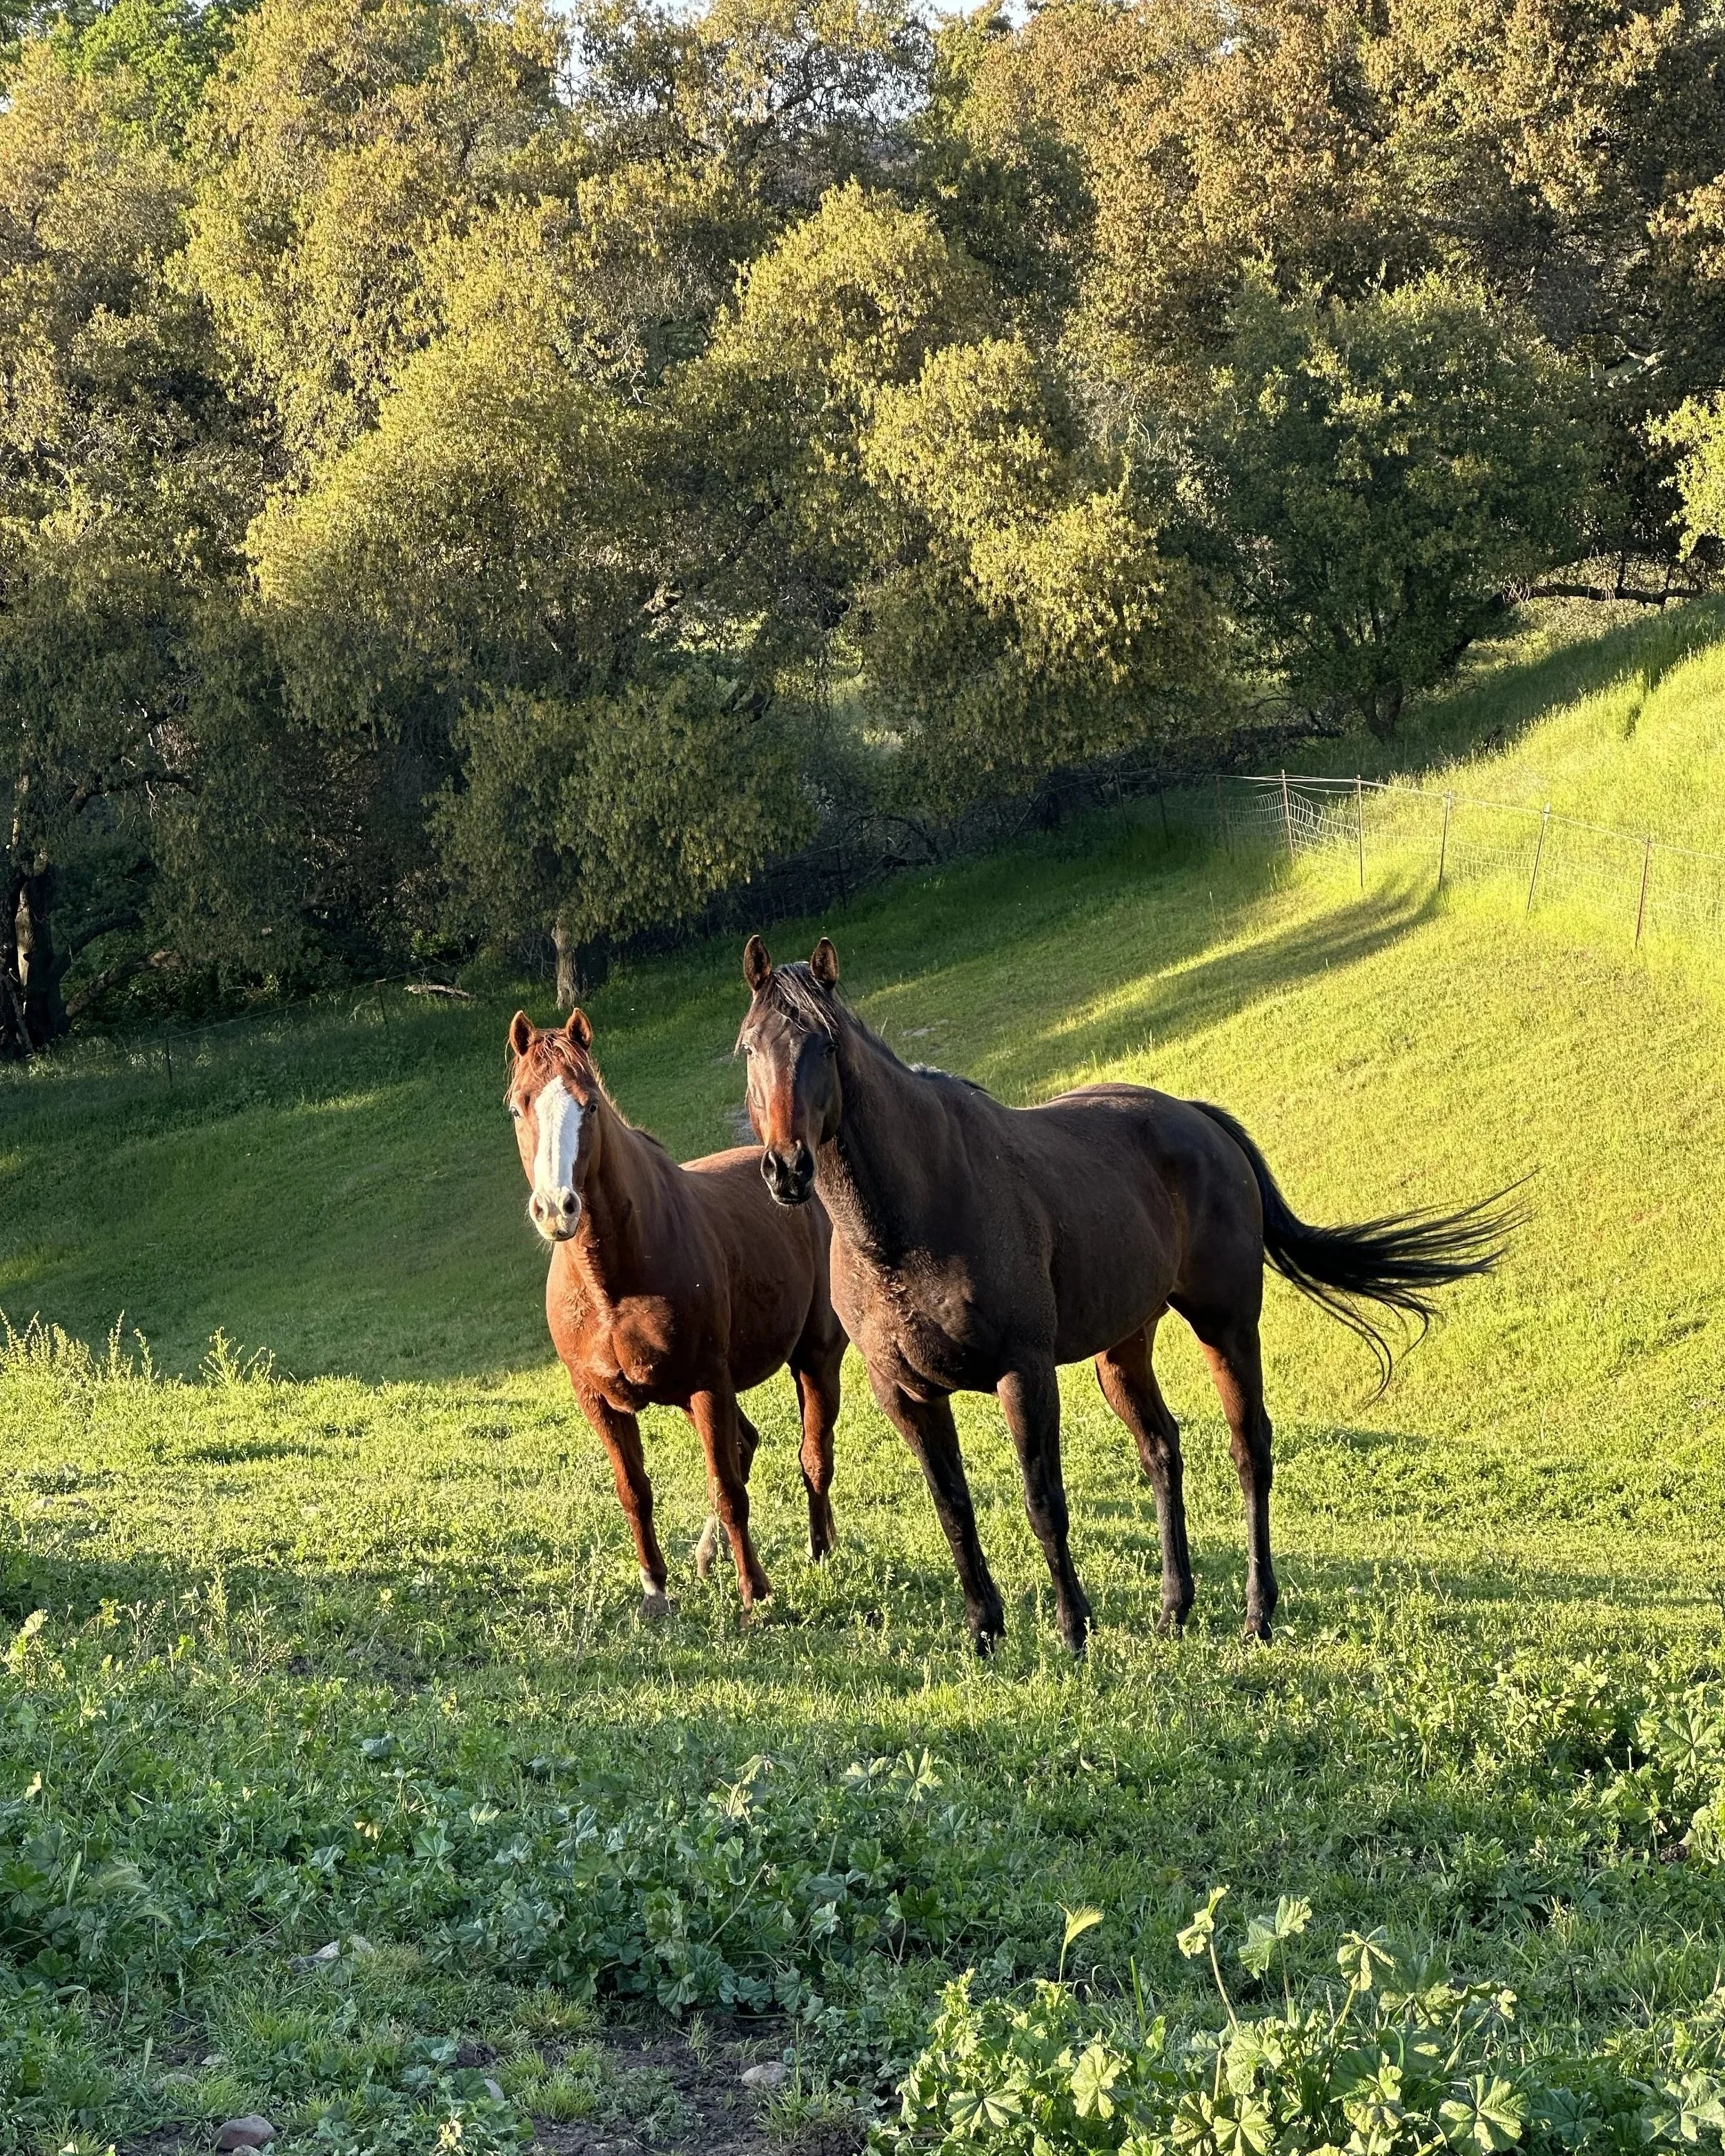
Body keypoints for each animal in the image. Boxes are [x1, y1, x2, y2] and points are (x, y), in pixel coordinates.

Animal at [506, 1007, 847, 1618]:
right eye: (518, 1106)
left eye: (590, 1104)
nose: (556, 1208)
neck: (612, 1284)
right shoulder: (599, 1400)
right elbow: (635, 1490)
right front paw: (656, 1588)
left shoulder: (709, 1382)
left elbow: (729, 1489)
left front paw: (754, 1594)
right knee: (747, 1444)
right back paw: (711, 1555)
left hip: (815, 1358)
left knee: (813, 1456)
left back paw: (820, 1549)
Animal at [736, 936, 1517, 1654]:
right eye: (749, 1048)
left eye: (825, 1044)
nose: (787, 1168)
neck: (913, 1214)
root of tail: (1198, 1120)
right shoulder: (902, 1389)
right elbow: (953, 1507)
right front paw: (985, 1630)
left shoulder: (1024, 1371)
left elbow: (1043, 1502)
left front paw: (1073, 1628)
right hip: (1123, 1348)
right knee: (1162, 1450)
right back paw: (1173, 1608)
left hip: (1226, 1325)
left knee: (1249, 1451)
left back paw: (1257, 1613)